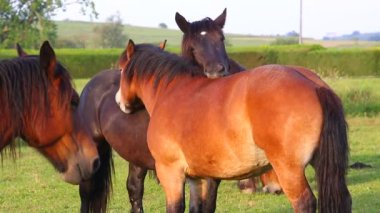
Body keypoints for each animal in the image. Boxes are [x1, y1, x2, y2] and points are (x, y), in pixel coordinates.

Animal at [116, 40, 354, 213]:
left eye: (120, 69)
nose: (120, 102)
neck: (171, 91)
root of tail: (314, 85)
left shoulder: (171, 172)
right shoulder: (199, 178)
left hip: (289, 170)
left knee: (304, 203)